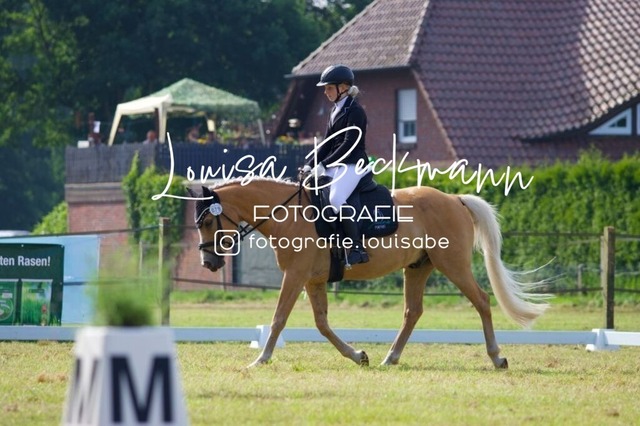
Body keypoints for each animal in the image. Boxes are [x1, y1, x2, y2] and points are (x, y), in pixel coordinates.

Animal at [187, 177, 549, 369]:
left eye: (209, 221)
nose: (209, 264)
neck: (288, 214)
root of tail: (454, 198)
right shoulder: (312, 280)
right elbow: (322, 324)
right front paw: (358, 355)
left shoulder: (295, 276)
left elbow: (278, 319)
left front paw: (261, 359)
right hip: (418, 267)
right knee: (412, 311)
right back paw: (391, 357)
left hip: (453, 264)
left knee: (482, 301)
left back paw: (497, 357)